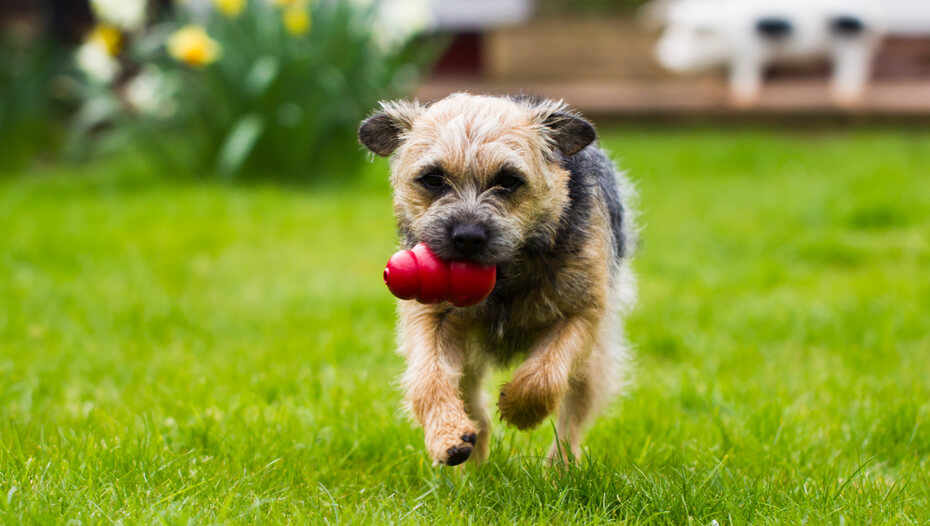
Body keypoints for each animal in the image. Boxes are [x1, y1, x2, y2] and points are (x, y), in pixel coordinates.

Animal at [358, 94, 636, 466]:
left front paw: (521, 410)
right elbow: (429, 378)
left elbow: (545, 375)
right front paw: (448, 435)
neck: (506, 277)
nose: (467, 236)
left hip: (595, 361)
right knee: (472, 401)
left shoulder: (581, 313)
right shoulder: (431, 317)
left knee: (572, 416)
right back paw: (472, 456)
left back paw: (560, 466)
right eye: (433, 179)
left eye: (508, 180)